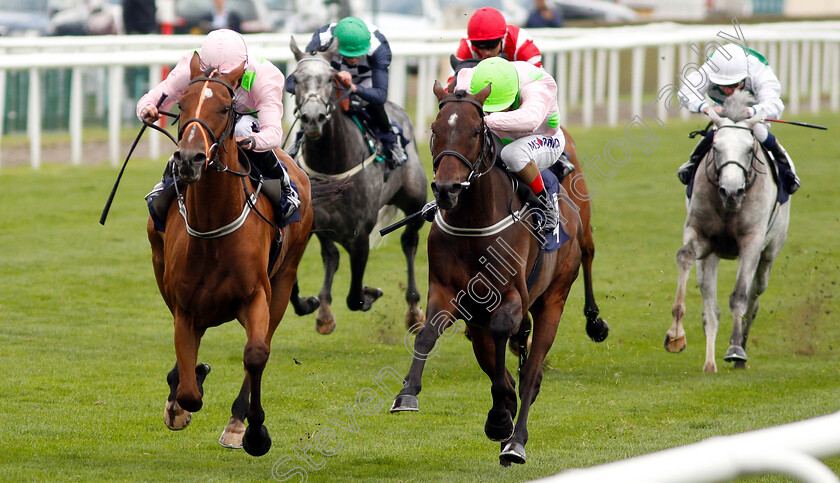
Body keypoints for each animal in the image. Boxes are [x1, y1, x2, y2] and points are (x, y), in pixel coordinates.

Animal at [146, 53, 314, 458]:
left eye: (224, 108)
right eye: (181, 105)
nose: (189, 158)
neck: (213, 229)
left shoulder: (257, 296)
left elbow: (255, 354)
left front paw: (252, 431)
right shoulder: (185, 305)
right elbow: (189, 391)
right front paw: (181, 396)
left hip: (284, 281)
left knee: (263, 343)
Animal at [288, 39, 430, 334]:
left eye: (329, 78)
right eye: (296, 79)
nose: (313, 118)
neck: (331, 165)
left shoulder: (361, 234)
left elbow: (354, 297)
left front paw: (369, 293)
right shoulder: (309, 225)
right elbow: (293, 286)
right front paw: (311, 303)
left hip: (415, 202)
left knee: (409, 242)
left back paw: (413, 310)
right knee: (331, 255)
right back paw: (325, 310)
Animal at [390, 83, 588, 466]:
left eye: (474, 132)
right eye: (435, 129)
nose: (446, 189)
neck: (473, 222)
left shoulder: (512, 297)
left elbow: (503, 336)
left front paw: (500, 418)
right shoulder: (447, 292)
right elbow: (427, 333)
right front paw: (407, 393)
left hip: (553, 299)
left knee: (531, 375)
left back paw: (515, 441)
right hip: (476, 319)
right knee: (496, 361)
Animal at [668, 91, 792, 374]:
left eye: (749, 149)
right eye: (716, 147)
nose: (731, 191)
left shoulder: (751, 243)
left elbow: (739, 296)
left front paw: (735, 348)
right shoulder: (702, 237)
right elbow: (684, 256)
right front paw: (676, 334)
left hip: (769, 254)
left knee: (754, 298)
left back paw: (740, 351)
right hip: (710, 259)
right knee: (710, 308)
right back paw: (709, 363)